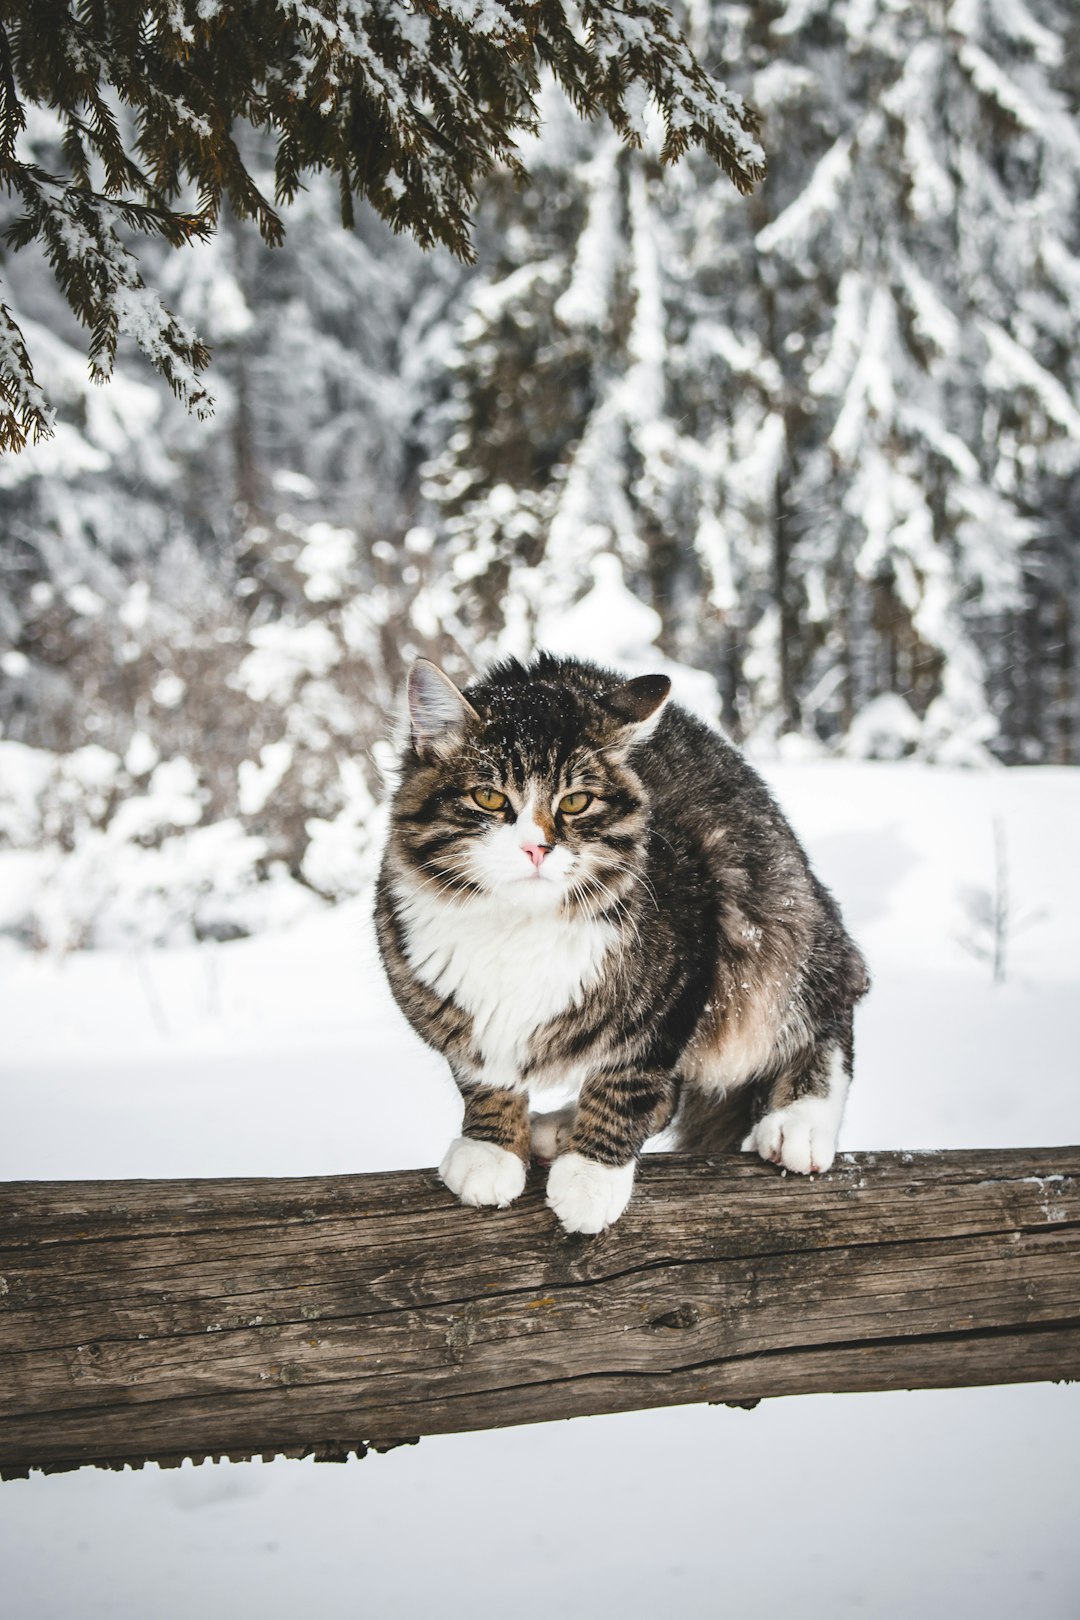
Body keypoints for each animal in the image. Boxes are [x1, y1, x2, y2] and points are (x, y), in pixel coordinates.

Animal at [374, 651, 867, 1231]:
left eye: (576, 802)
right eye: (489, 797)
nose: (537, 848)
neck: (518, 923)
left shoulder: (684, 974)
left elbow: (628, 1085)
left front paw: (592, 1176)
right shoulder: (447, 1002)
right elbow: (481, 1074)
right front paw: (490, 1147)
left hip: (778, 933)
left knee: (826, 1012)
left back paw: (800, 1120)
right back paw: (559, 1125)